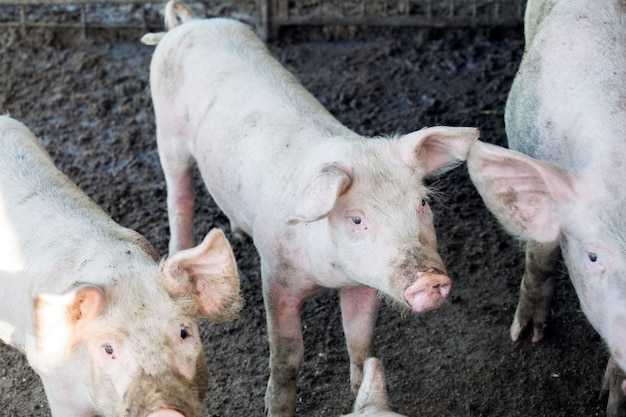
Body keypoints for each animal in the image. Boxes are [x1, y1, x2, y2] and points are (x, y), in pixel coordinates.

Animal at [147, 1, 478, 414]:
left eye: (421, 202)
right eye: (357, 219)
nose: (430, 280)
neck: (329, 276)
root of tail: (190, 24)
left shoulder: (361, 281)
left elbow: (362, 343)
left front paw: (360, 391)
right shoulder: (276, 276)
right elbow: (288, 356)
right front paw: (276, 407)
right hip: (168, 134)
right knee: (180, 197)